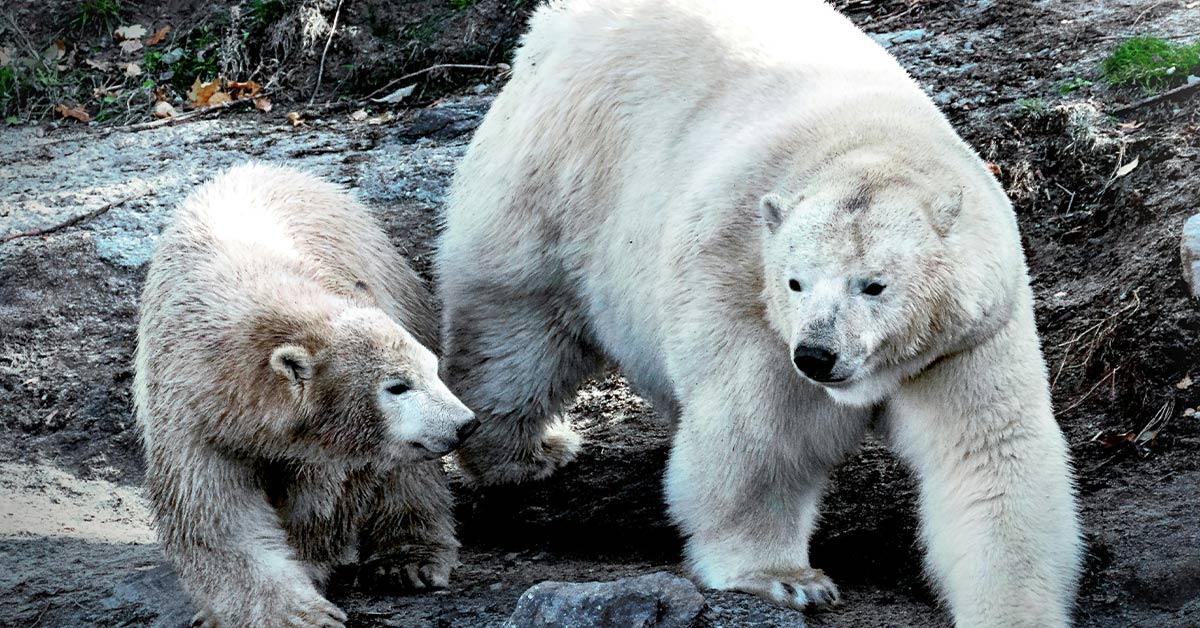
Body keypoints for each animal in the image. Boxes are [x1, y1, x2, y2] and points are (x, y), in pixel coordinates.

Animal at [134, 163, 478, 628]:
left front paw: (309, 578)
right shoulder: (191, 410)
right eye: (397, 386)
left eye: (431, 369)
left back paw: (408, 561)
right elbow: (215, 517)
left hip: (395, 291)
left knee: (407, 475)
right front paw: (292, 613)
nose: (465, 424)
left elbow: (325, 500)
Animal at [435, 0, 1082, 626]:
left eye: (873, 285)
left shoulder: (964, 335)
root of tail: (555, 23)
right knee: (517, 329)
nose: (818, 356)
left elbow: (990, 454)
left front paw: (1017, 610)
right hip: (558, 179)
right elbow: (761, 435)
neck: (868, 142)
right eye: (796, 281)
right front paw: (788, 579)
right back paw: (523, 453)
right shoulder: (748, 295)